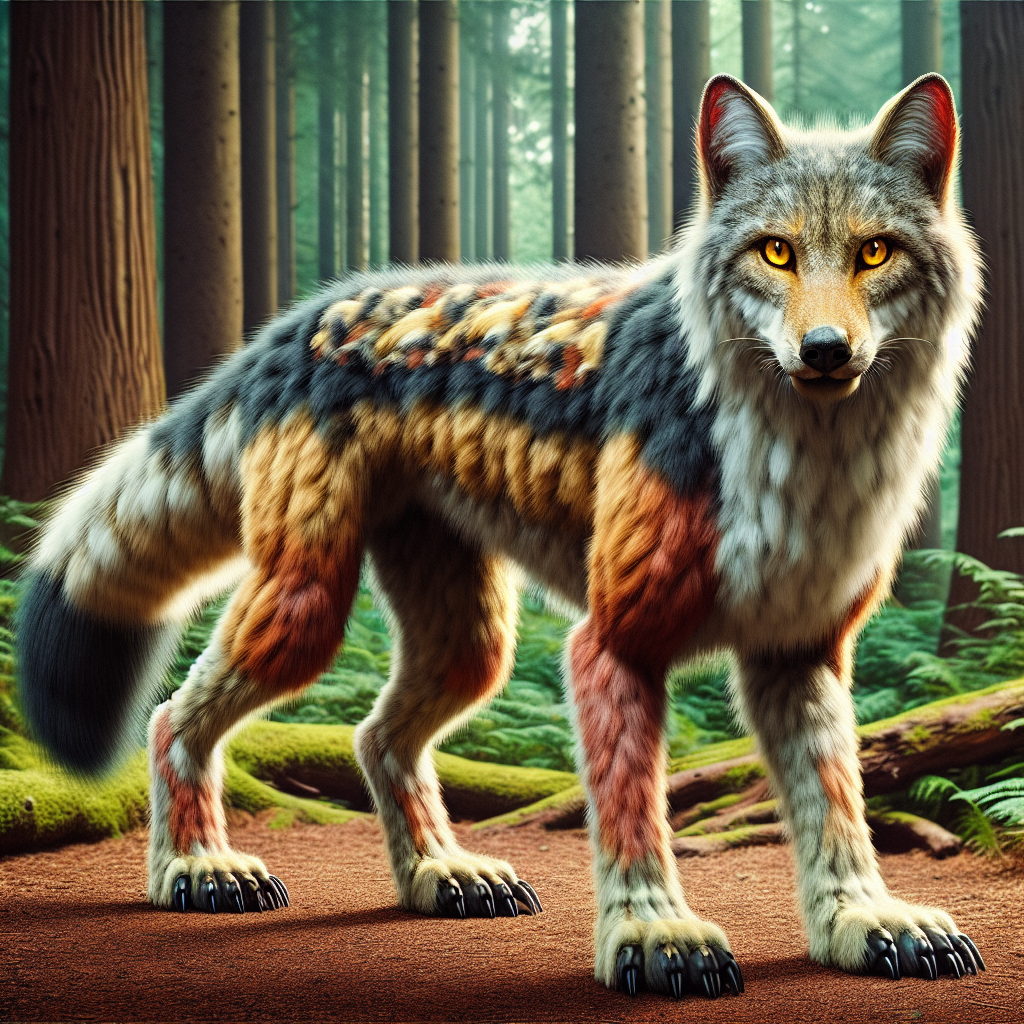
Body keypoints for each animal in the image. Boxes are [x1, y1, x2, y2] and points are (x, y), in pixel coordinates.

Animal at [18, 72, 986, 998]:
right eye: (775, 251)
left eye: (873, 252)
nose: (824, 350)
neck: (797, 461)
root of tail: (301, 319)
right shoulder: (613, 644)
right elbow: (633, 813)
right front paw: (653, 934)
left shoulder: (798, 655)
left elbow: (838, 811)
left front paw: (864, 922)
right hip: (306, 609)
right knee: (170, 718)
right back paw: (194, 867)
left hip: (471, 644)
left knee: (374, 736)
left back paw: (437, 874)